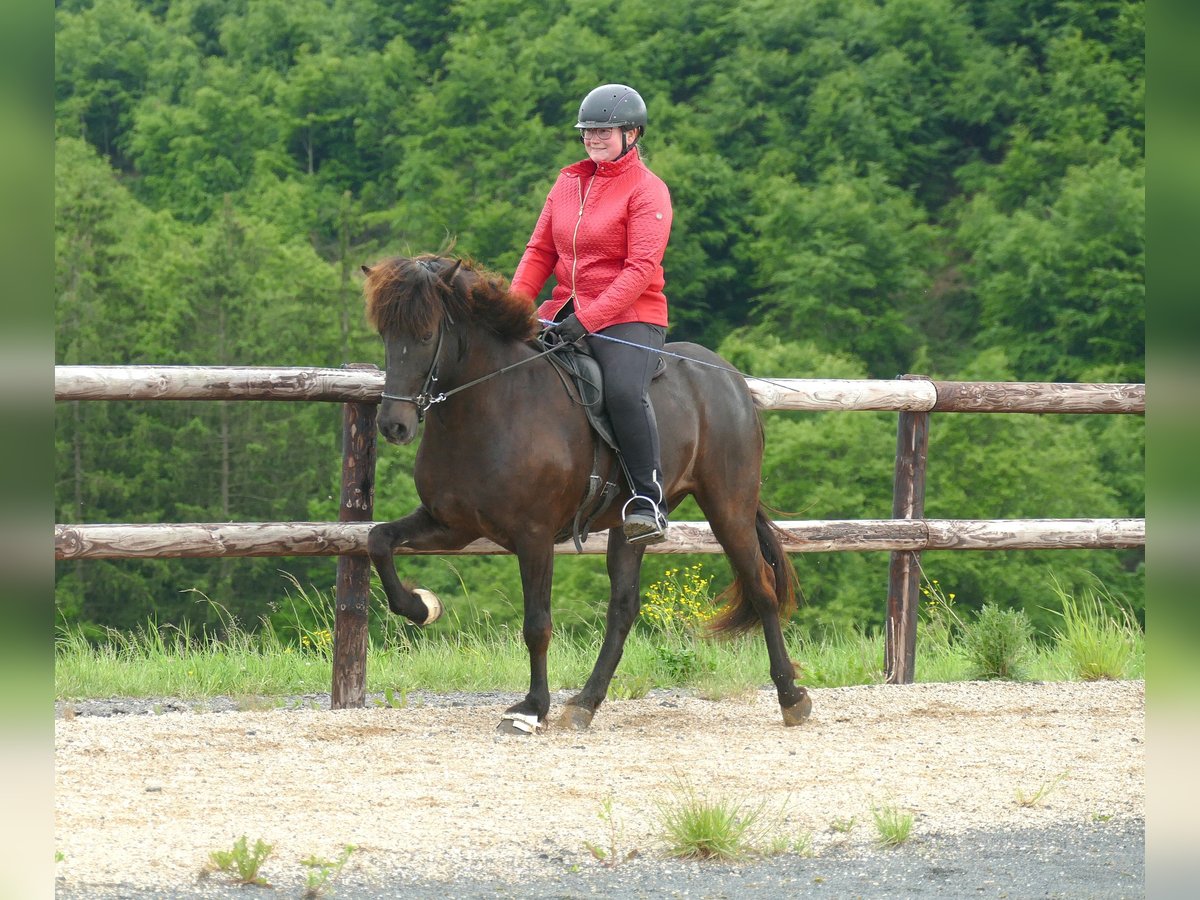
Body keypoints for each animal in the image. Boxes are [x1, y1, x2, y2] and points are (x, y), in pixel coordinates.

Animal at [360, 253, 812, 734]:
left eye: (426, 335)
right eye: (386, 334)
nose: (394, 426)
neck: (493, 405)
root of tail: (730, 379)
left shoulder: (534, 536)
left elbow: (537, 624)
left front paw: (530, 709)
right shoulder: (452, 525)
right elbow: (378, 540)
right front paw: (421, 606)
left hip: (728, 506)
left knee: (761, 587)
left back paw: (791, 697)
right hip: (631, 527)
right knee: (623, 608)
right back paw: (585, 703)